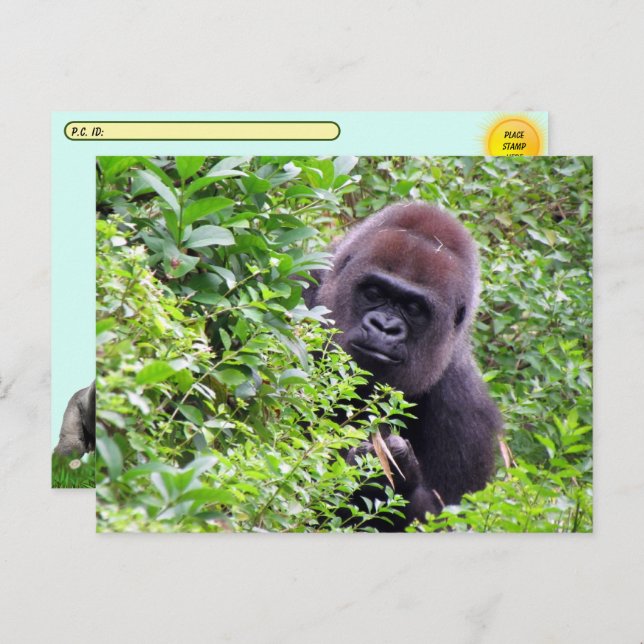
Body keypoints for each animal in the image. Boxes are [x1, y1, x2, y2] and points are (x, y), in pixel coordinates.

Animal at [305, 202, 502, 530]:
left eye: (413, 309)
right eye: (374, 293)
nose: (385, 328)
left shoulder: (468, 413)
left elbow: (447, 519)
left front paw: (395, 476)